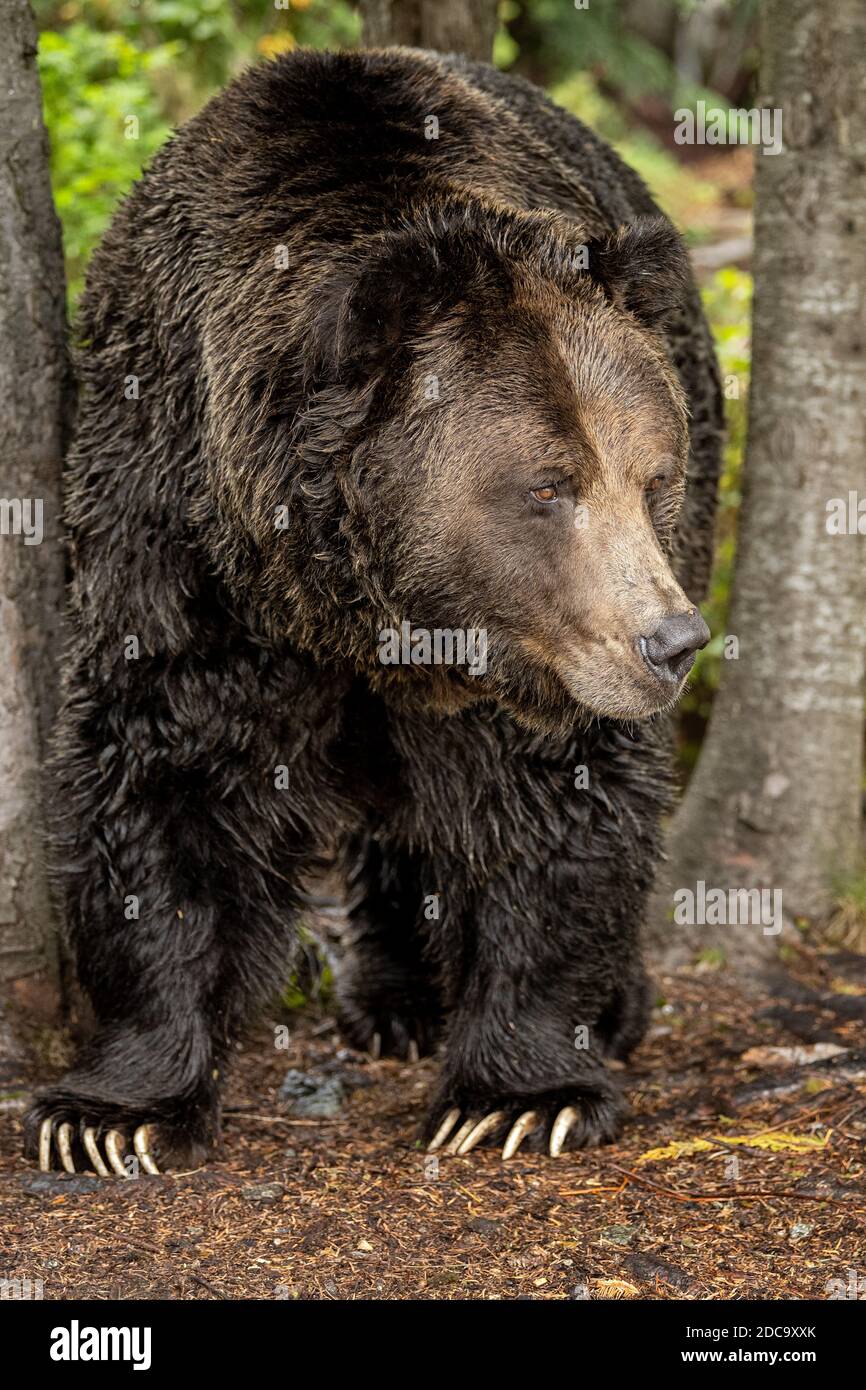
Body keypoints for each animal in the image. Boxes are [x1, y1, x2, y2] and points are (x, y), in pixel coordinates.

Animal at [25, 46, 717, 1173]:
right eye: (548, 485)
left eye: (651, 476)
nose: (672, 642)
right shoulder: (174, 539)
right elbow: (159, 776)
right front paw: (111, 1112)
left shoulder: (542, 655)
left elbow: (558, 806)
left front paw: (519, 1093)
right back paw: (393, 996)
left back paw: (601, 1005)